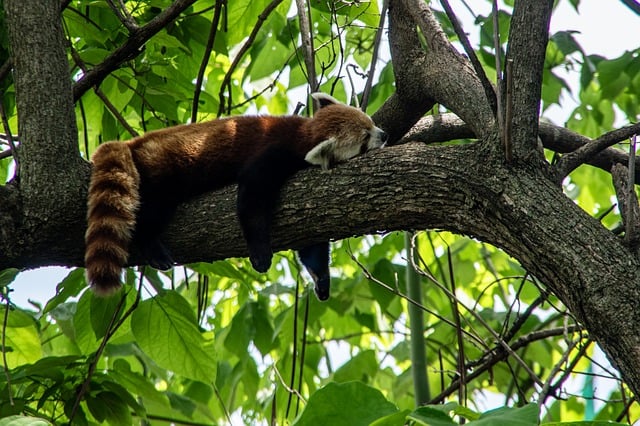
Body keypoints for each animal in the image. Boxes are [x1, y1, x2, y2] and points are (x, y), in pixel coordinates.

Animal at [84, 93, 384, 300]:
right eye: (364, 139)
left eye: (371, 123)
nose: (385, 134)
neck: (304, 133)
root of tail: (134, 142)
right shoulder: (274, 154)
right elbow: (251, 200)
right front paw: (260, 254)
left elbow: (311, 243)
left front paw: (321, 278)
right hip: (161, 171)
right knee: (153, 210)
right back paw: (152, 247)